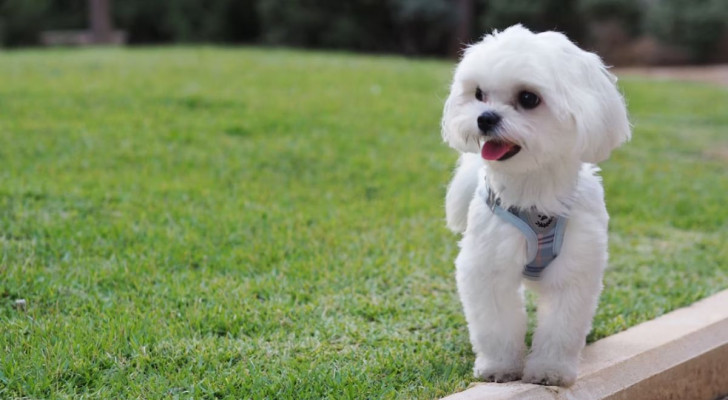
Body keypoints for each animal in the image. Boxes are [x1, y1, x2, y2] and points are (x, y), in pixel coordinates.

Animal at [440, 25, 628, 388]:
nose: (484, 118)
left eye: (528, 98)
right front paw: (500, 366)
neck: (533, 190)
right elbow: (496, 323)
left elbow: (561, 327)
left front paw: (550, 370)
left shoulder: (574, 269)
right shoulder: (488, 265)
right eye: (479, 94)